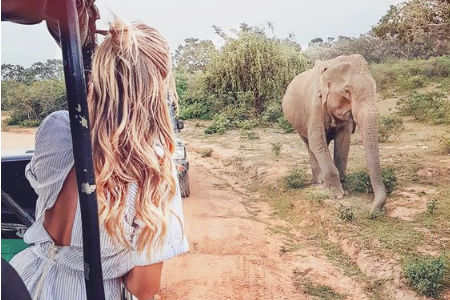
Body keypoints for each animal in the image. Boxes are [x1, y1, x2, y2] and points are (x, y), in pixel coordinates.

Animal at [284, 54, 384, 213]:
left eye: (374, 87)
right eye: (347, 91)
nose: (372, 209)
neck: (330, 65)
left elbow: (344, 140)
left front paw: (345, 189)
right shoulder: (314, 106)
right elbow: (316, 140)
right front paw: (337, 195)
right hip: (298, 124)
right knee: (309, 144)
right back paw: (318, 183)